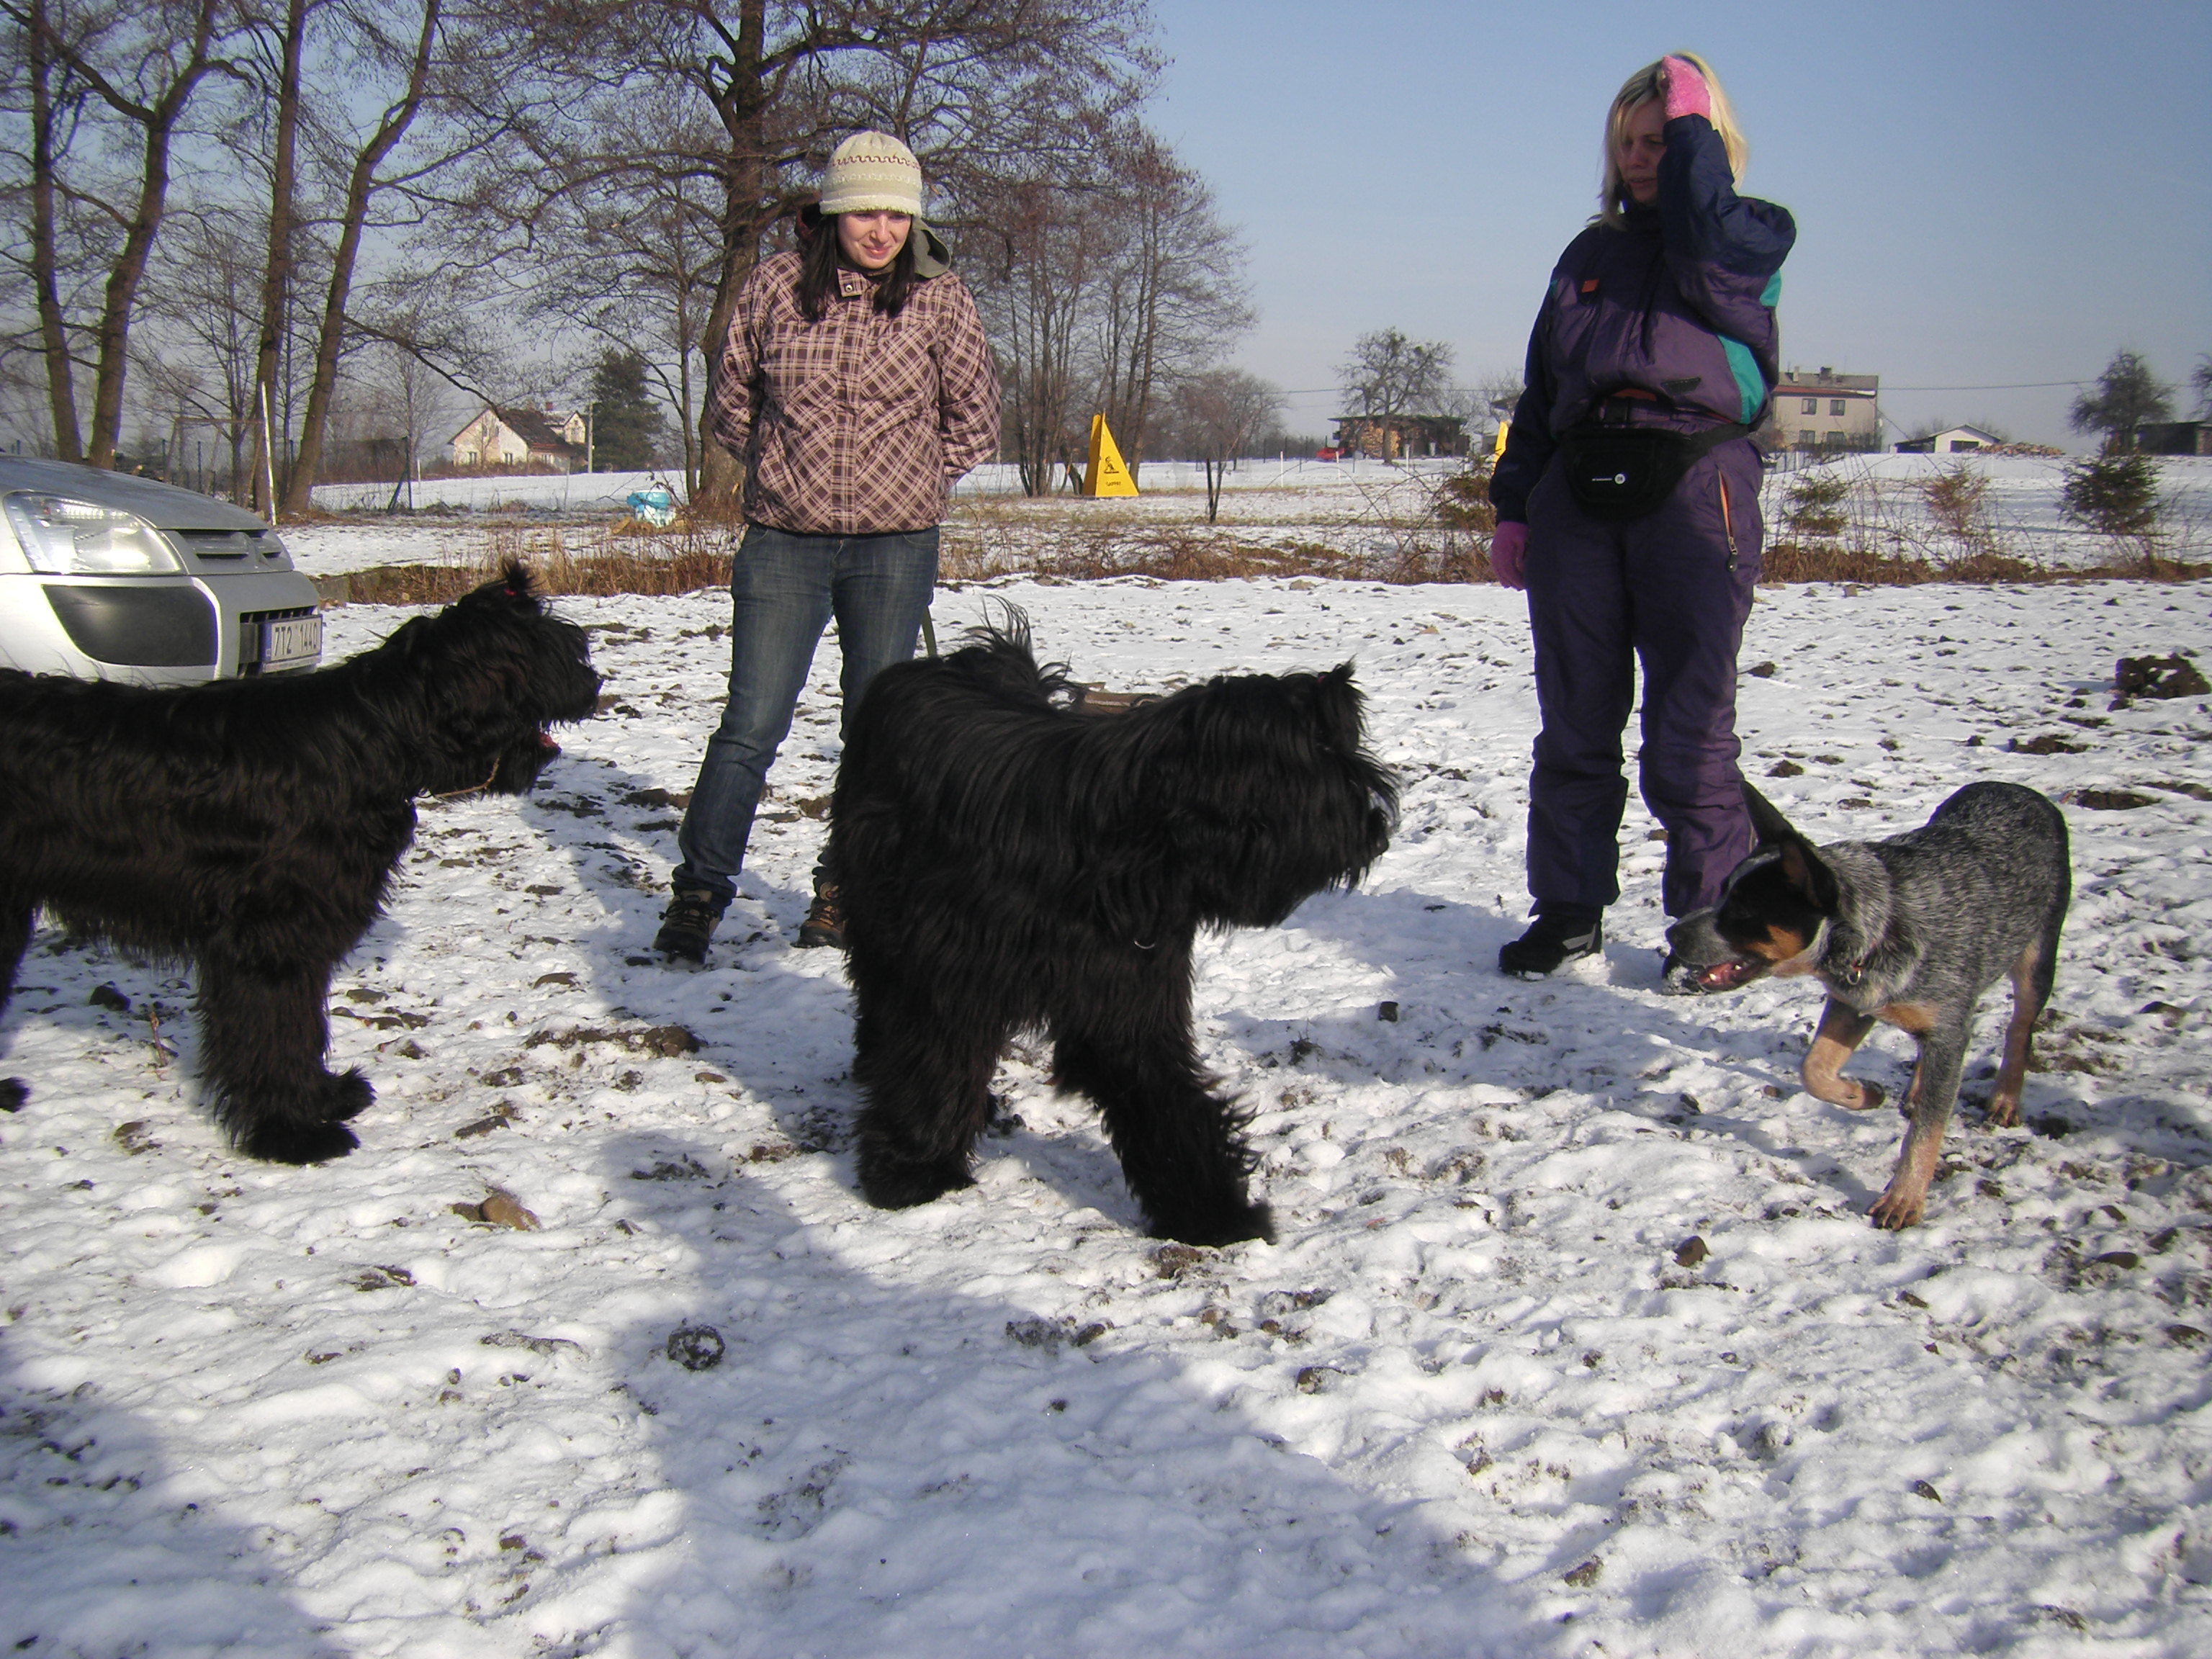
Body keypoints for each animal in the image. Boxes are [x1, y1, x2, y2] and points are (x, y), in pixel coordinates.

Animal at [0, 566, 601, 1159]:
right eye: (551, 651)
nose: (594, 684)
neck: (372, 741)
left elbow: (301, 1025)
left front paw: (324, 1098)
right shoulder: (270, 939)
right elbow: (273, 1031)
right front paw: (290, 1134)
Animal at [822, 619, 1389, 1247]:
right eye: (1322, 756)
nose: (1376, 826)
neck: (1119, 843)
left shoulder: (1125, 988)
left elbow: (1159, 1092)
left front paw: (1212, 1212)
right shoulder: (949, 971)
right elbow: (932, 1059)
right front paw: (911, 1174)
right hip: (874, 904)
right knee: (882, 998)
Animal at [1663, 783, 2062, 1238]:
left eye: (1745, 910)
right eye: (1722, 891)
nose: (1672, 933)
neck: (1882, 924)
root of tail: (2018, 789)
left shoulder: (1948, 1026)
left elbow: (1927, 1131)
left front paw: (1904, 1199)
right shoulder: (1854, 1001)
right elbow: (1814, 1069)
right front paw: (1864, 1094)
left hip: (2037, 958)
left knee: (2020, 1028)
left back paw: (2005, 1099)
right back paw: (1916, 1091)